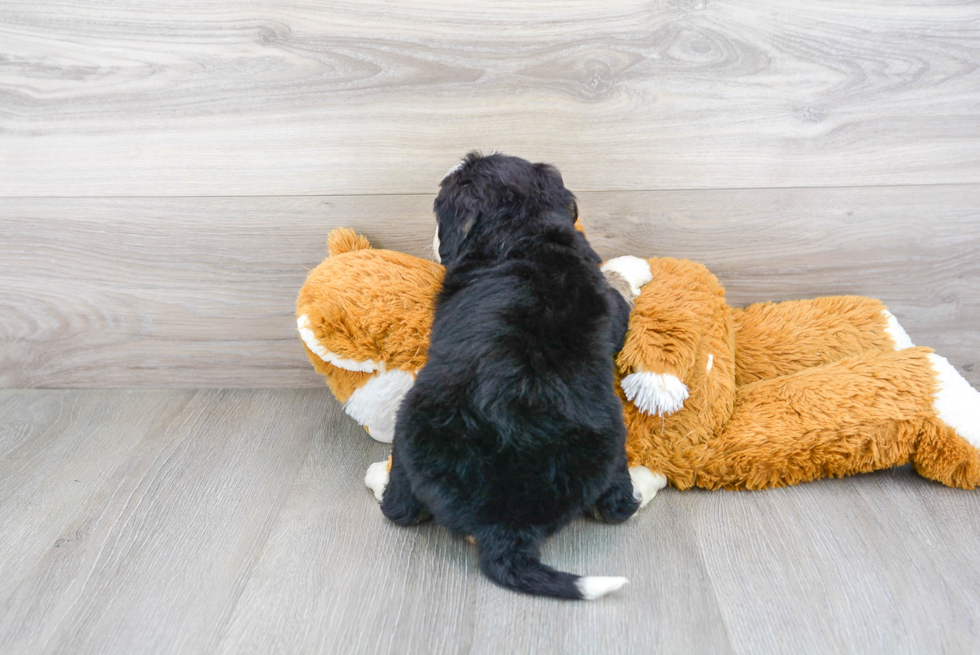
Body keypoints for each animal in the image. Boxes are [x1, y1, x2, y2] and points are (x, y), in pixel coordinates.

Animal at [376, 152, 660, 600]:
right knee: (617, 506)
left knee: (399, 509)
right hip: (612, 437)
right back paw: (646, 481)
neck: (523, 231)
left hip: (411, 423)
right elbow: (618, 286)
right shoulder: (615, 312)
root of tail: (503, 527)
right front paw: (631, 268)